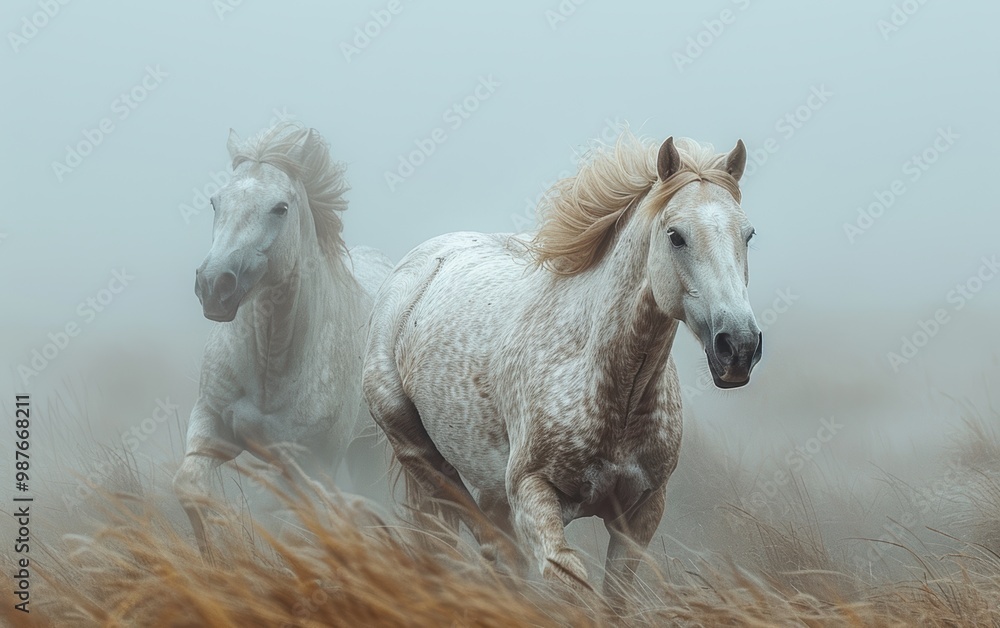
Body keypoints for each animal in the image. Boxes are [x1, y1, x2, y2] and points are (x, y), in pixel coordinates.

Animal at [173, 122, 393, 556]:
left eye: (280, 208)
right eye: (215, 202)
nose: (214, 286)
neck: (270, 363)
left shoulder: (310, 462)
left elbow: (294, 523)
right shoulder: (212, 423)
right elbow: (191, 487)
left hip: (367, 450)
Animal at [361, 131, 762, 602]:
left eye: (748, 234)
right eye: (675, 236)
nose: (738, 346)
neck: (613, 392)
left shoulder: (641, 514)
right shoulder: (532, 496)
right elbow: (570, 584)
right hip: (423, 457)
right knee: (490, 548)